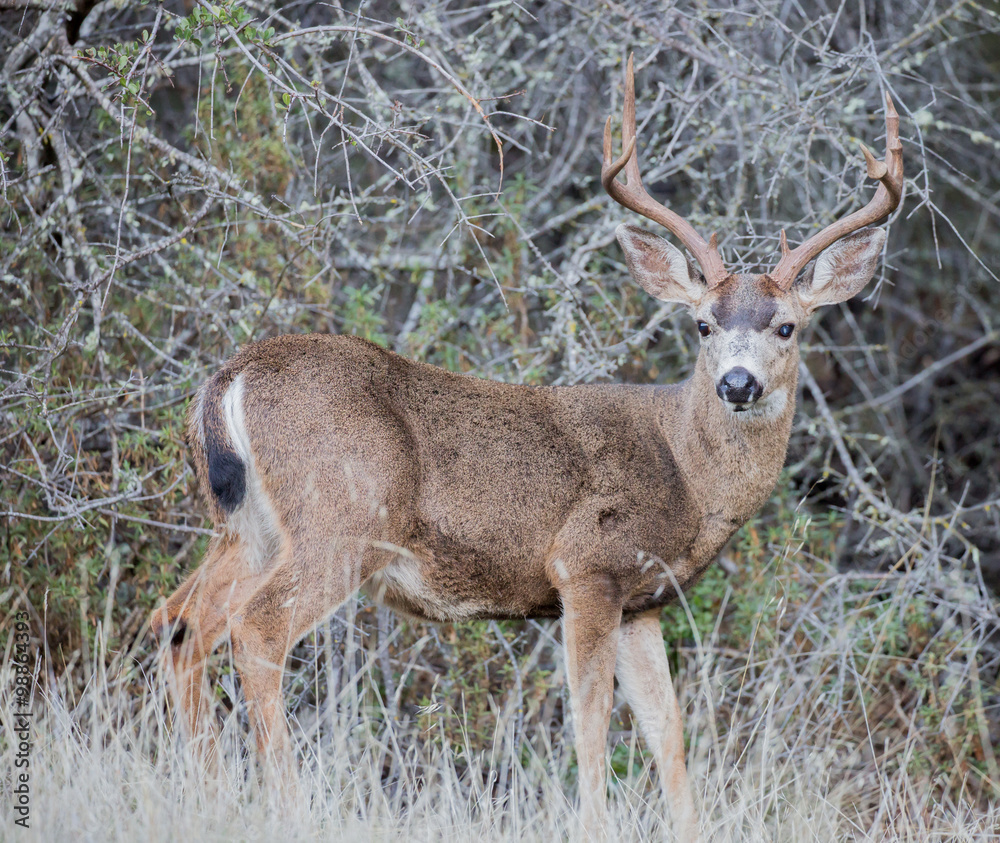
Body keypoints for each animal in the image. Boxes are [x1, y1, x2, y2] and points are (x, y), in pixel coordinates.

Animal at [151, 55, 903, 840]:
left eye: (787, 325)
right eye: (702, 324)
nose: (737, 382)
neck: (687, 474)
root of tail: (228, 379)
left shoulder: (644, 600)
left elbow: (668, 731)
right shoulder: (586, 566)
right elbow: (591, 721)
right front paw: (594, 824)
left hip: (246, 527)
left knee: (178, 621)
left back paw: (207, 791)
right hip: (340, 521)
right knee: (254, 629)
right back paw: (288, 803)